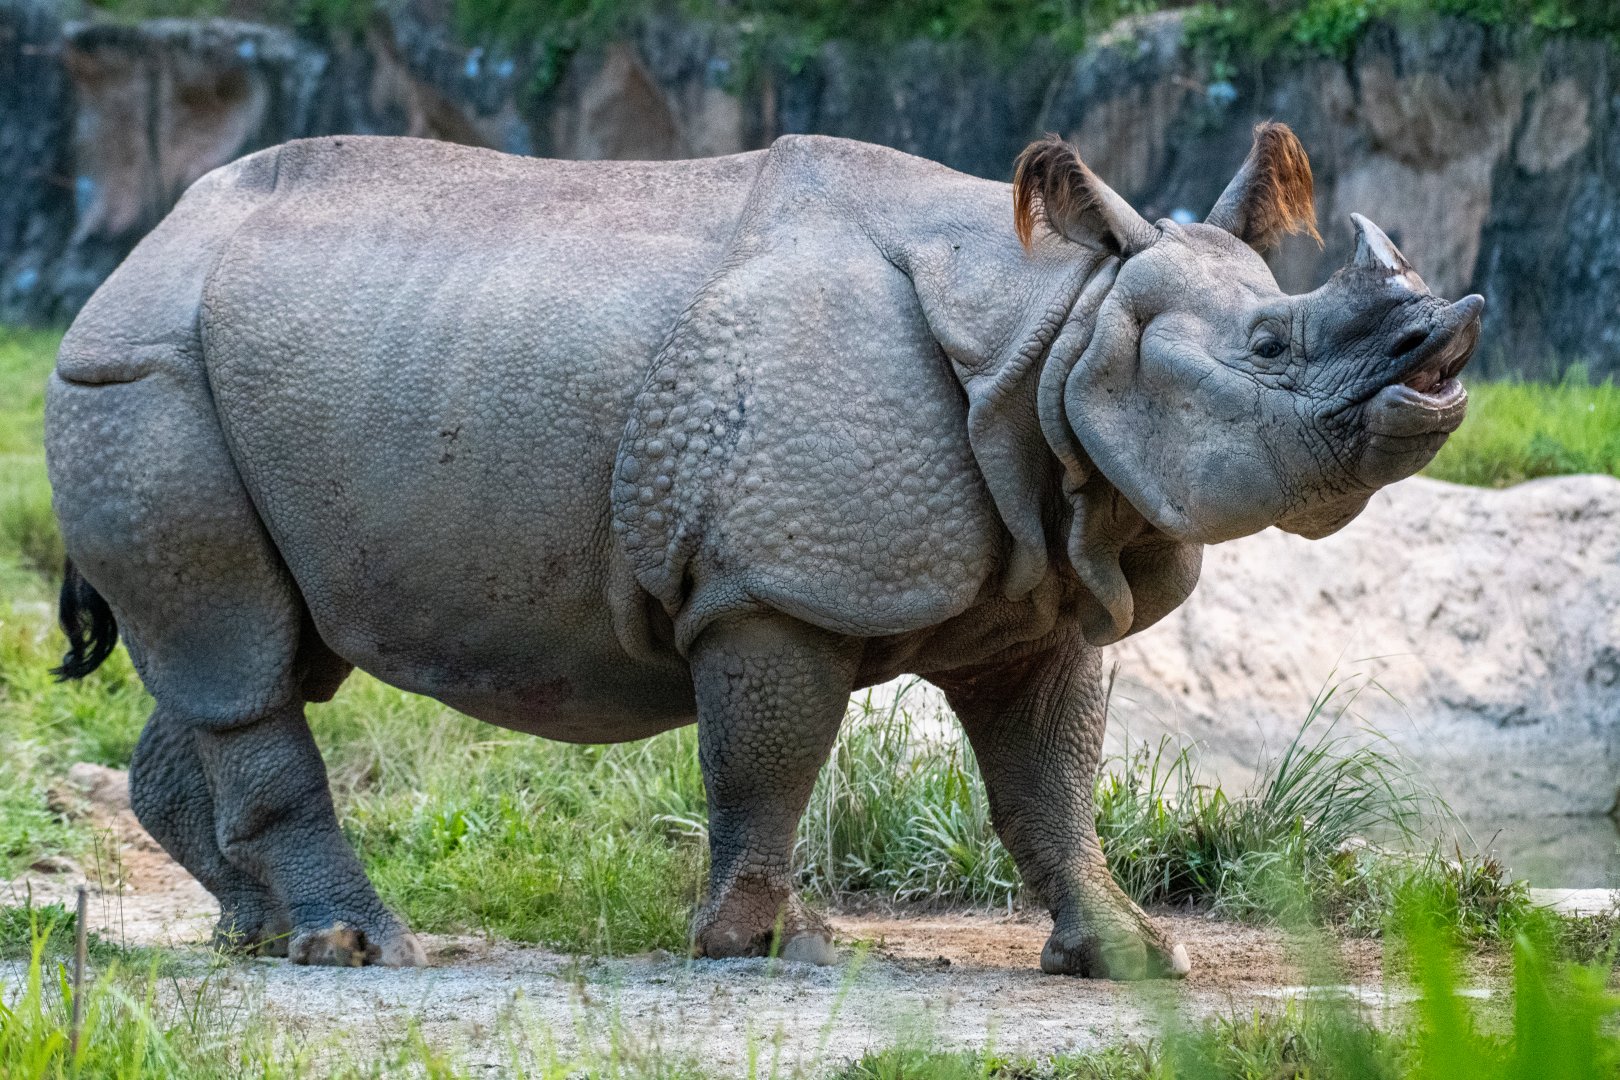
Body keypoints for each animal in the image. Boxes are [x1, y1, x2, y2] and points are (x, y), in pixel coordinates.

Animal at [45, 122, 1481, 978]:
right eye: (1271, 345)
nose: (1446, 360)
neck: (1056, 326)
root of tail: (132, 257)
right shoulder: (770, 584)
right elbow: (769, 755)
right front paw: (761, 941)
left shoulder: (1044, 577)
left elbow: (1051, 781)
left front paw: (1131, 958)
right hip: (139, 380)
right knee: (240, 657)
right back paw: (359, 948)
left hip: (230, 377)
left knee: (257, 661)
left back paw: (254, 934)